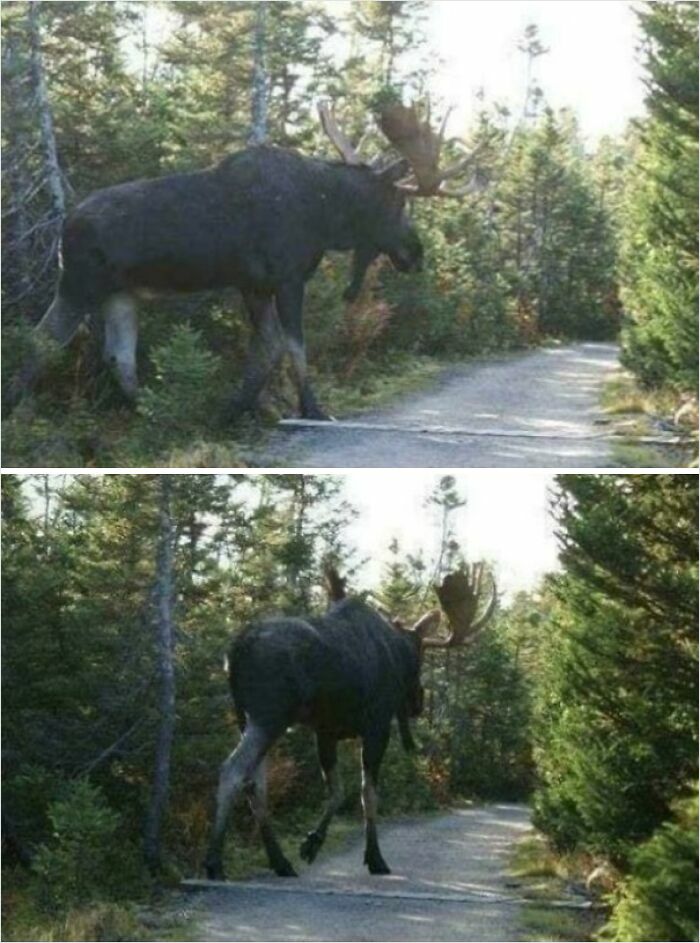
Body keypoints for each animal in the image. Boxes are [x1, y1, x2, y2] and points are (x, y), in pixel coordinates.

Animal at [16, 100, 486, 420]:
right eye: (397, 203)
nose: (416, 253)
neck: (325, 215)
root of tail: (63, 227)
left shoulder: (253, 283)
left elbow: (268, 347)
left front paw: (241, 407)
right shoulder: (287, 278)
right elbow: (293, 345)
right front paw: (311, 409)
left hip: (121, 294)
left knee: (119, 357)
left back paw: (156, 411)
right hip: (80, 284)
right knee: (39, 342)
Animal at [204, 560, 498, 876]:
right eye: (419, 657)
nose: (418, 702)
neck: (395, 650)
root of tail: (235, 651)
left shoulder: (326, 731)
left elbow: (338, 791)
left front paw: (312, 843)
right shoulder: (376, 727)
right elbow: (367, 794)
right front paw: (375, 857)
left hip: (246, 718)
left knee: (255, 782)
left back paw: (280, 862)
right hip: (269, 715)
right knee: (233, 770)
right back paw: (214, 863)